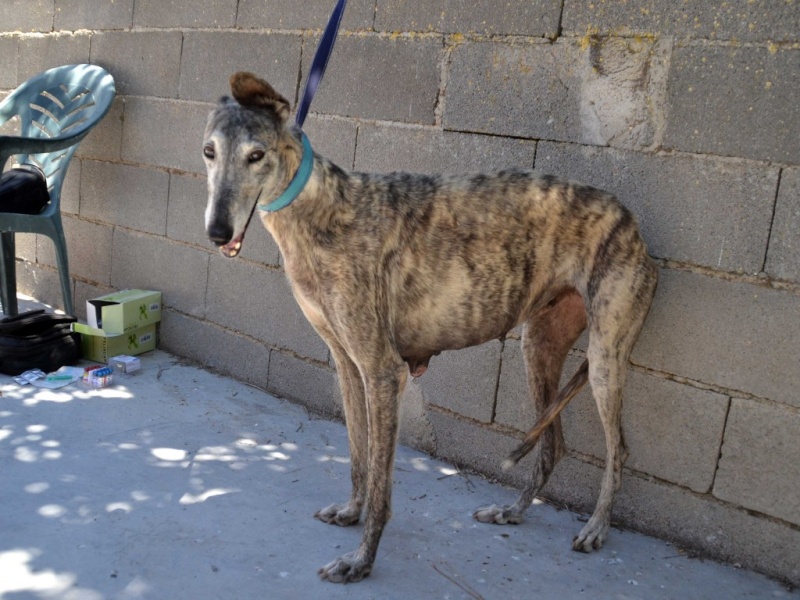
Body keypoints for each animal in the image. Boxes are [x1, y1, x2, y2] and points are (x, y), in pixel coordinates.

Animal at [202, 72, 656, 584]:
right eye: (209, 151)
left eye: (256, 155)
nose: (216, 233)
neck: (322, 211)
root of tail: (631, 221)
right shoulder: (347, 362)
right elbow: (358, 455)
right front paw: (350, 511)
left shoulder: (383, 370)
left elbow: (381, 480)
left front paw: (361, 560)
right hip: (539, 345)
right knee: (552, 444)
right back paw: (512, 511)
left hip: (604, 359)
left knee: (618, 449)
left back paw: (596, 527)